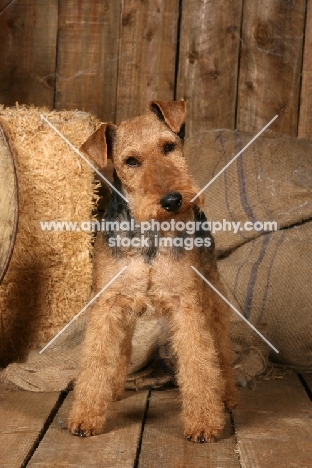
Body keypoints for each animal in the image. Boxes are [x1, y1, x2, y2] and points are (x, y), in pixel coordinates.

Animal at [67, 101, 236, 442]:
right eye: (130, 161)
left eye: (168, 146)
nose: (173, 200)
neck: (150, 235)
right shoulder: (108, 304)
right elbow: (97, 359)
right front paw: (86, 417)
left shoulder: (187, 304)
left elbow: (199, 361)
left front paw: (203, 422)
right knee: (123, 348)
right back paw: (113, 390)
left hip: (211, 295)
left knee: (220, 349)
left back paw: (227, 396)